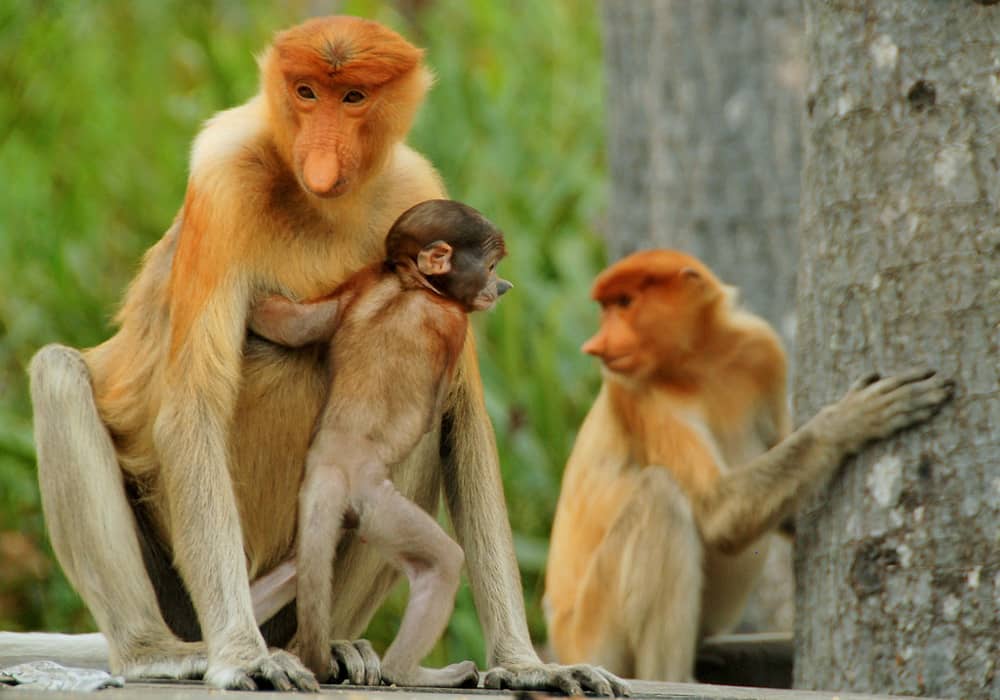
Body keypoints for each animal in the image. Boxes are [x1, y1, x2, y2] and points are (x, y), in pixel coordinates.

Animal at [245, 199, 511, 687]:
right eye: (490, 266)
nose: (501, 286)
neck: (409, 283)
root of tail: (332, 466)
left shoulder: (359, 285)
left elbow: (295, 324)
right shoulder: (453, 323)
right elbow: (436, 407)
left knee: (298, 567)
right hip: (376, 506)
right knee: (441, 564)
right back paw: (410, 672)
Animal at [543, 250, 954, 682]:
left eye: (624, 303)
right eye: (606, 307)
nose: (594, 346)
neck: (698, 360)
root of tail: (561, 643)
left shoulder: (762, 349)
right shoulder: (635, 393)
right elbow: (718, 512)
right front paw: (850, 420)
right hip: (592, 634)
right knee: (661, 497)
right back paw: (672, 681)